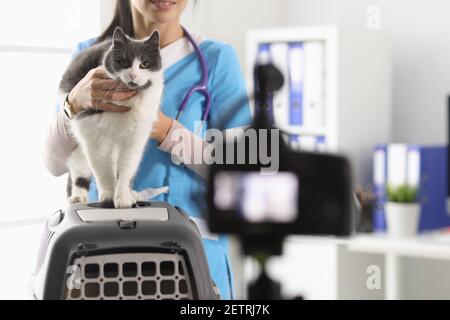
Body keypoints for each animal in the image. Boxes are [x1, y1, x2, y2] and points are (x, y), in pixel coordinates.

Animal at [59, 26, 163, 208]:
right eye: (124, 62)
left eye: (144, 64)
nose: (133, 75)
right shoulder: (94, 134)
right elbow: (102, 168)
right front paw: (108, 195)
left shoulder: (135, 136)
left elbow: (127, 167)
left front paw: (123, 197)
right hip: (80, 145)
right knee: (79, 169)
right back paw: (78, 197)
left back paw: (132, 194)